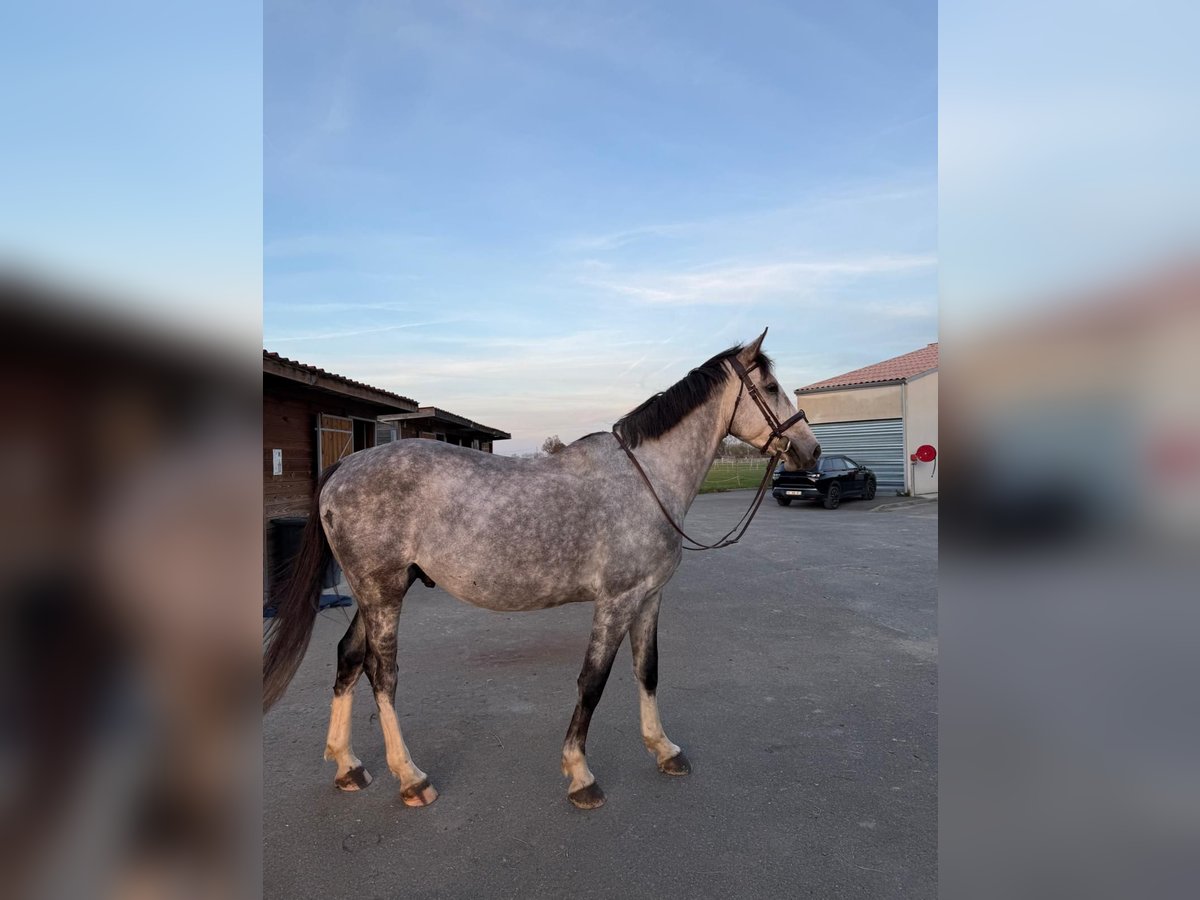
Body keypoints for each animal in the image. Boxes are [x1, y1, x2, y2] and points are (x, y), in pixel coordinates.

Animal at [263, 329, 820, 809]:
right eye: (771, 387)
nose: (810, 450)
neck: (645, 480)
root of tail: (344, 466)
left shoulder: (649, 597)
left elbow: (648, 671)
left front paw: (664, 749)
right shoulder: (616, 601)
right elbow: (593, 681)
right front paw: (580, 775)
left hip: (375, 592)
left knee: (348, 658)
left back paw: (348, 766)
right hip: (383, 594)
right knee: (382, 674)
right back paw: (411, 778)